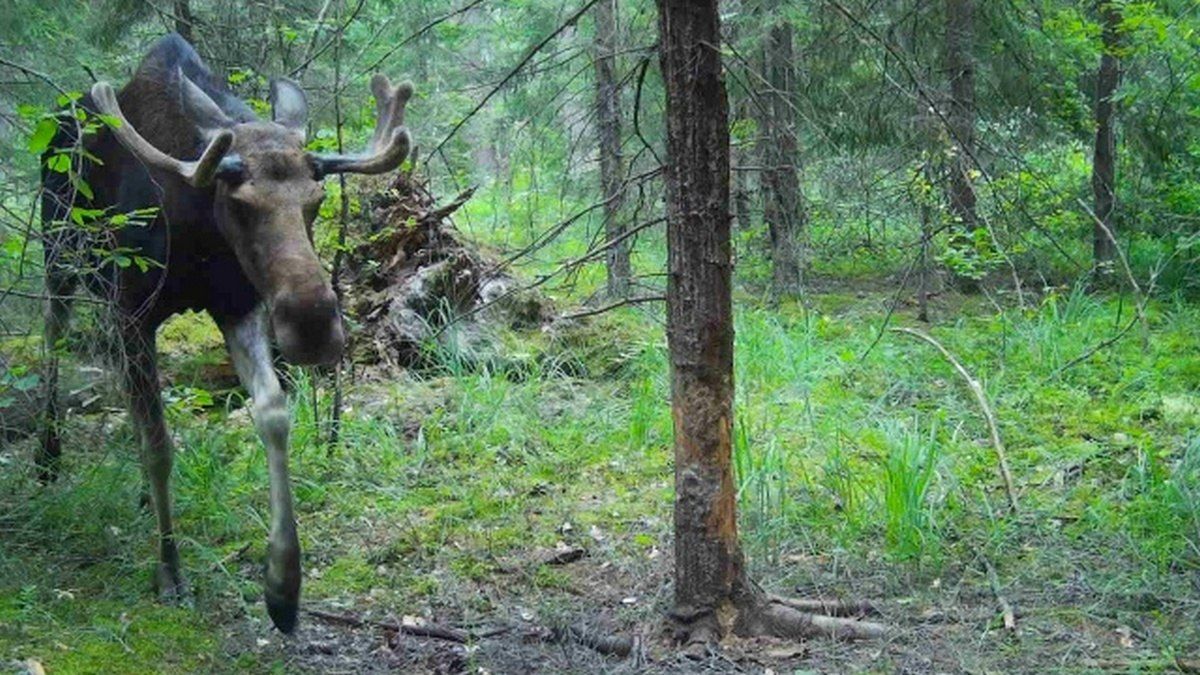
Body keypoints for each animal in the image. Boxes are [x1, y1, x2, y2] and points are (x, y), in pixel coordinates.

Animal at [38, 33, 412, 633]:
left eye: (317, 199)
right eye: (239, 201)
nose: (314, 326)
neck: (198, 230)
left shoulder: (238, 306)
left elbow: (273, 413)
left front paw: (283, 584)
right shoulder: (132, 310)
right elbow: (159, 443)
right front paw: (169, 568)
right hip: (59, 256)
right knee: (53, 332)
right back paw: (47, 455)